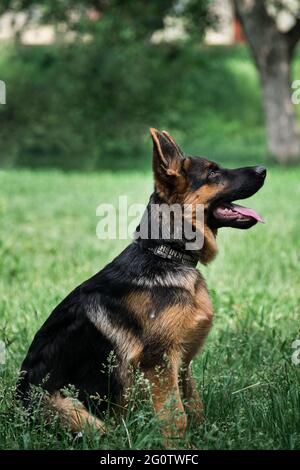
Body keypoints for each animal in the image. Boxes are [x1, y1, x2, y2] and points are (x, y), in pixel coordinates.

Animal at [16, 129, 266, 440]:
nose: (263, 169)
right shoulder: (159, 363)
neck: (165, 253)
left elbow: (194, 406)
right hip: (71, 409)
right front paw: (181, 445)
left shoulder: (181, 365)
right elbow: (176, 417)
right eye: (212, 172)